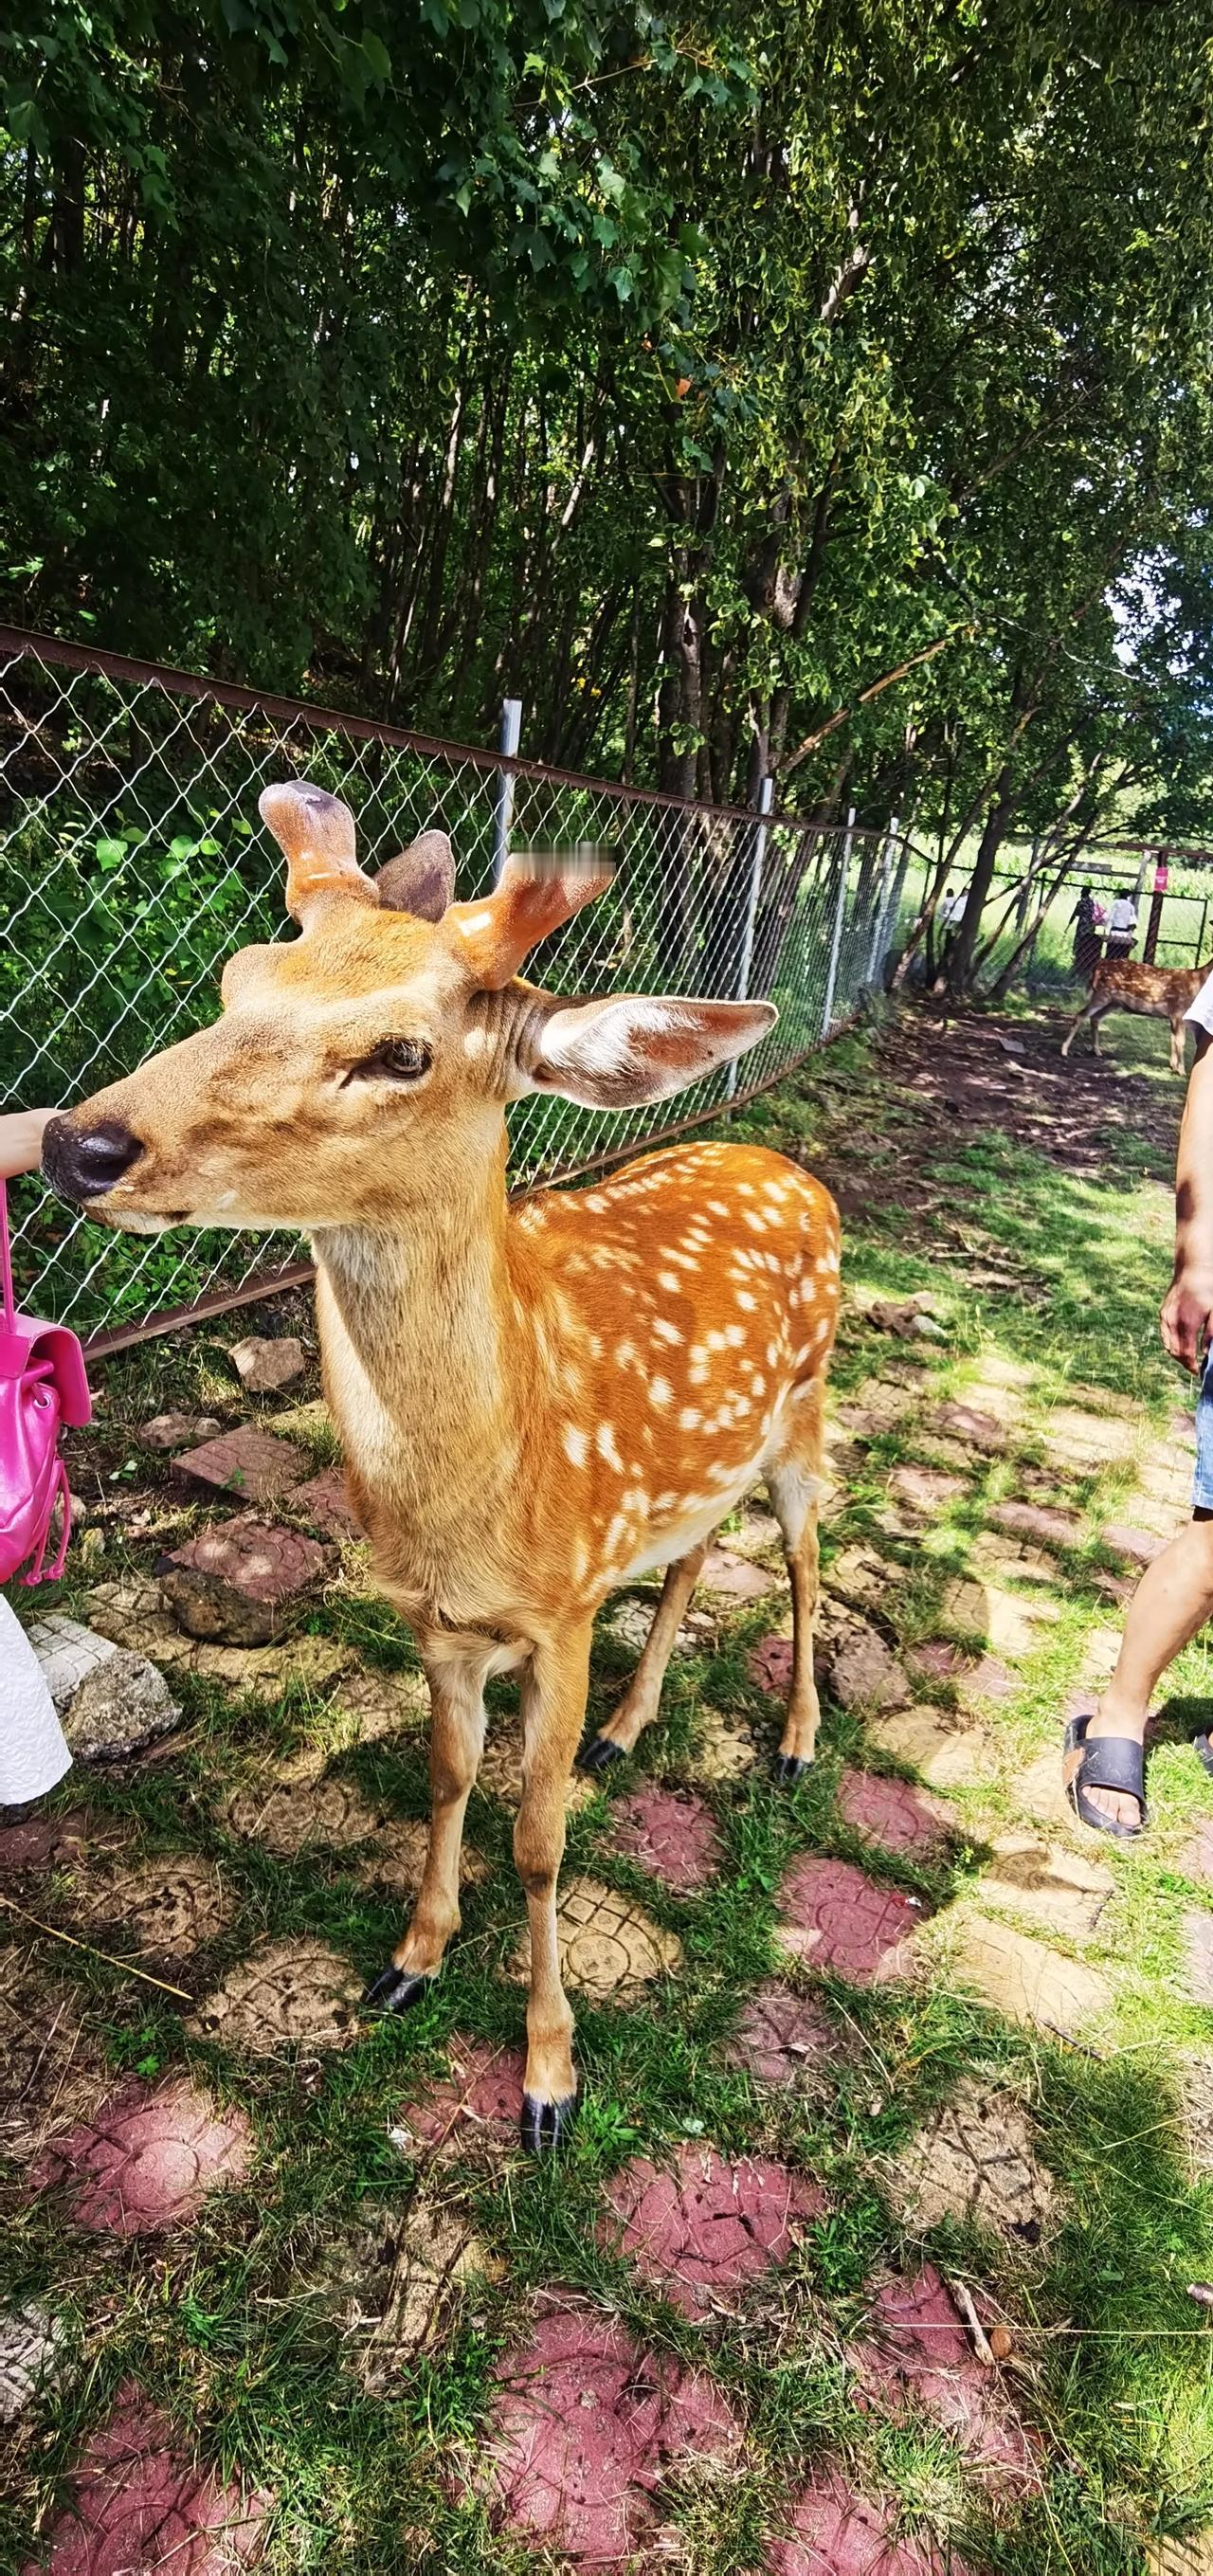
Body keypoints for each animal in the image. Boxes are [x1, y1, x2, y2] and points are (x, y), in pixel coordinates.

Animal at [47, 777, 844, 2153]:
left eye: (402, 1053)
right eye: (236, 979)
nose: (76, 1144)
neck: (487, 1486)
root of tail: (792, 1168)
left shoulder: (562, 1609)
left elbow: (536, 1842)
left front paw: (548, 2076)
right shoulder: (437, 1620)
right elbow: (444, 1775)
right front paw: (410, 1958)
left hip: (807, 1414)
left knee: (803, 1555)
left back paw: (793, 1740)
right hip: (698, 1469)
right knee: (696, 1555)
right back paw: (627, 1730)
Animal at [1060, 952, 1210, 1071]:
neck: (1197, 983)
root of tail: (1098, 965)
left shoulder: (1173, 1016)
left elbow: (1173, 1039)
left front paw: (1173, 1066)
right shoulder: (1178, 1011)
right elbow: (1180, 1041)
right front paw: (1181, 1071)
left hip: (1114, 1002)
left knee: (1095, 1018)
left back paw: (1097, 1052)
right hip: (1102, 994)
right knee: (1080, 1015)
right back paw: (1064, 1050)